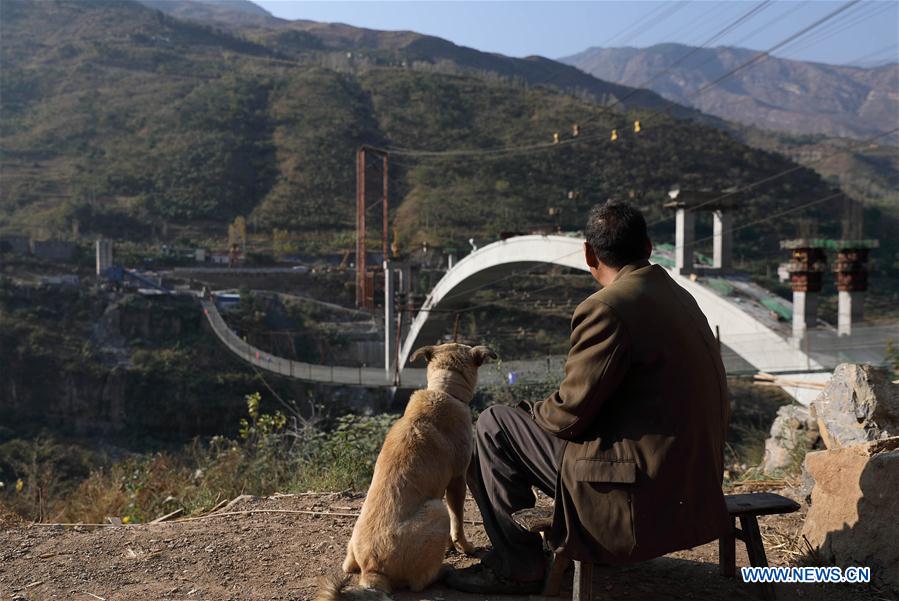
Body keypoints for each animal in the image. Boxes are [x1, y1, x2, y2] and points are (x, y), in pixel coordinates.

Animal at [318, 342, 500, 600]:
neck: (444, 390)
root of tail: (372, 571)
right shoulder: (457, 480)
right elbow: (458, 521)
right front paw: (464, 547)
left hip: (353, 548)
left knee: (348, 565)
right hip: (436, 509)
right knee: (421, 581)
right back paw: (443, 570)